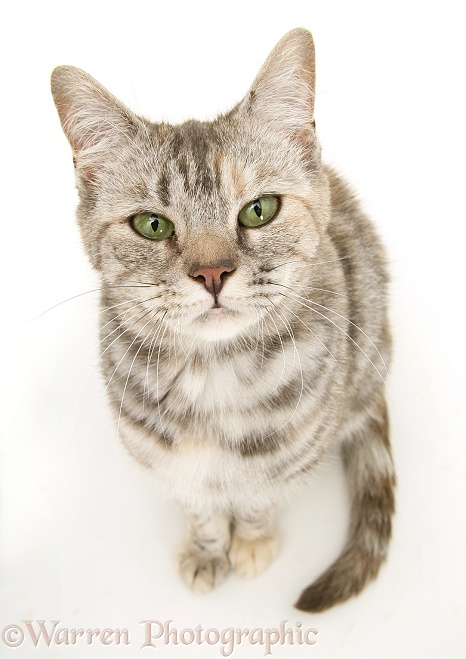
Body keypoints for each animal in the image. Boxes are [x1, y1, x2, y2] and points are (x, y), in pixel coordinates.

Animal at [50, 27, 394, 612]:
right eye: (152, 225)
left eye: (260, 210)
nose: (212, 273)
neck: (213, 377)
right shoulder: (169, 462)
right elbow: (203, 511)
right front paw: (208, 550)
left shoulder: (290, 451)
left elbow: (256, 499)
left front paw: (251, 541)